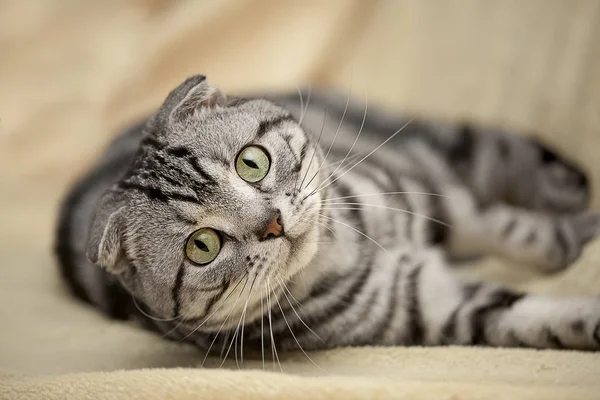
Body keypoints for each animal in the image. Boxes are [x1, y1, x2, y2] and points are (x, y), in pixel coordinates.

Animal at [56, 73, 600, 358]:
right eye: (202, 246)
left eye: (251, 162)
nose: (272, 223)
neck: (351, 245)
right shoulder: (433, 307)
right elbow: (539, 317)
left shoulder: (440, 197)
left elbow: (522, 232)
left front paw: (574, 236)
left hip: (434, 150)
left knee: (500, 151)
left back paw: (568, 189)